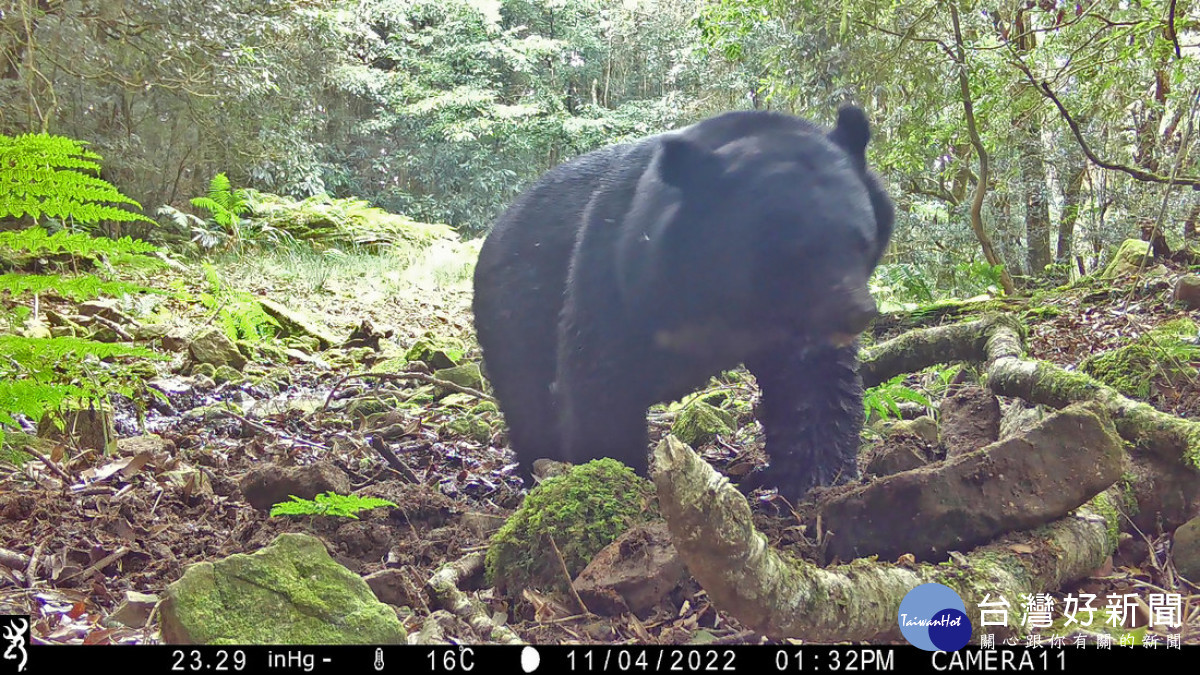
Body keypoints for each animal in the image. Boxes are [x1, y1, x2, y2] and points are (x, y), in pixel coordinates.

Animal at [472, 106, 894, 503]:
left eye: (862, 240)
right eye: (794, 254)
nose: (855, 313)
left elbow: (817, 385)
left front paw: (820, 481)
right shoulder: (617, 275)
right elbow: (600, 381)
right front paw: (615, 478)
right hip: (514, 317)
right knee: (531, 402)